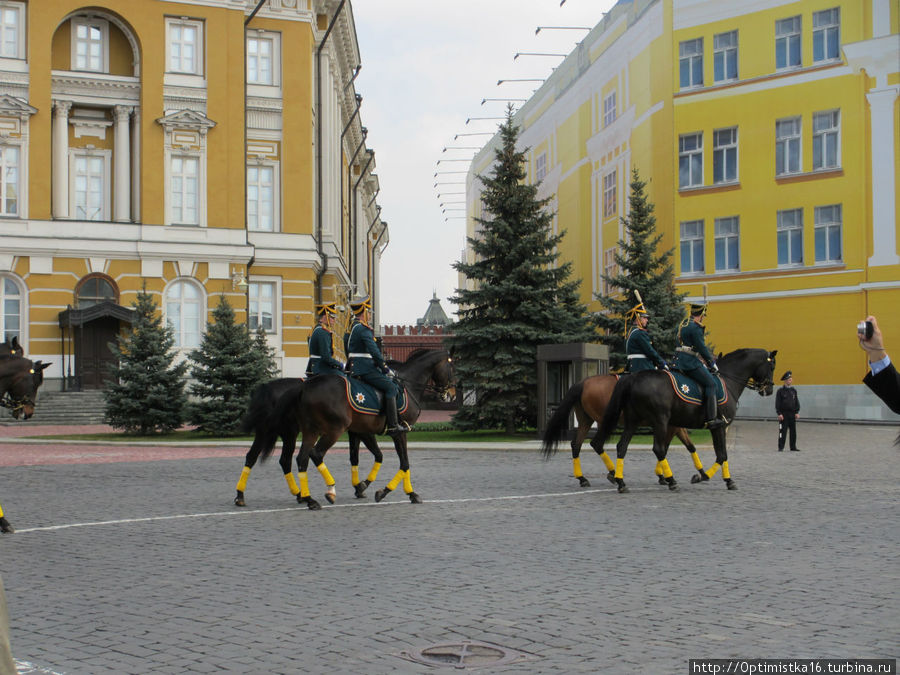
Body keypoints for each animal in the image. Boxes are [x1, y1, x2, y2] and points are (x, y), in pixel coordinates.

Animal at [540, 372, 712, 488]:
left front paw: (701, 473)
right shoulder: (670, 426)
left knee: (577, 444)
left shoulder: (675, 426)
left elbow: (689, 446)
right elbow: (667, 447)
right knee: (596, 443)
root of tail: (584, 382)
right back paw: (613, 475)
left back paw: (585, 478)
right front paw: (664, 476)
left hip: (586, 420)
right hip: (604, 420)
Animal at [588, 352, 776, 494]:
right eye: (772, 366)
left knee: (622, 446)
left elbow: (711, 452)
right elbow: (721, 455)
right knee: (658, 449)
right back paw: (672, 481)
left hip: (633, 421)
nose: (769, 389)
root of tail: (633, 378)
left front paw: (718, 478)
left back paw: (621, 482)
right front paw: (710, 478)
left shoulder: (690, 427)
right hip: (660, 420)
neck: (728, 381)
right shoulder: (719, 426)